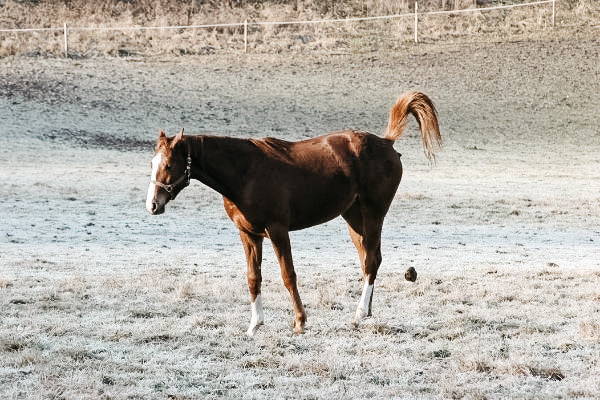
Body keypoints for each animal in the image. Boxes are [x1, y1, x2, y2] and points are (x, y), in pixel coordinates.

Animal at [145, 90, 440, 334]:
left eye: (169, 164)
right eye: (152, 163)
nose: (153, 205)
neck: (245, 173)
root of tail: (386, 143)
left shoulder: (277, 231)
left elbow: (288, 275)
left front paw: (300, 321)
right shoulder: (248, 234)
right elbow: (253, 278)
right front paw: (254, 325)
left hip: (373, 215)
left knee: (371, 261)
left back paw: (358, 315)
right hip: (354, 218)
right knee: (368, 259)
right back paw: (366, 312)